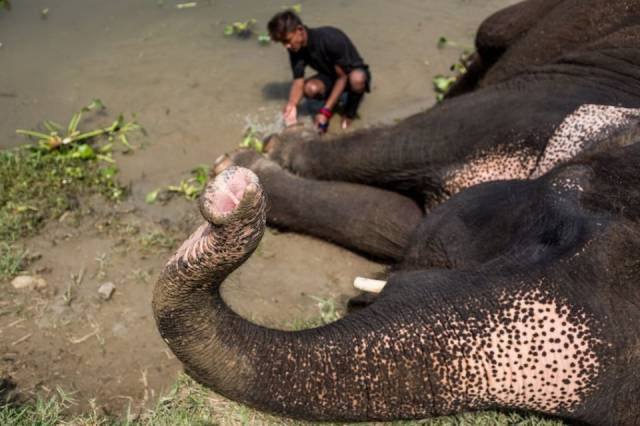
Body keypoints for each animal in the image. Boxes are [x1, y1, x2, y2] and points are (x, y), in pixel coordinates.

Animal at [152, 0, 640, 424]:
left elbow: (400, 219)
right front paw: (263, 151)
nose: (229, 195)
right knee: (488, 37)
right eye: (566, 190)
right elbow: (405, 144)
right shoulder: (528, 105)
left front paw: (254, 158)